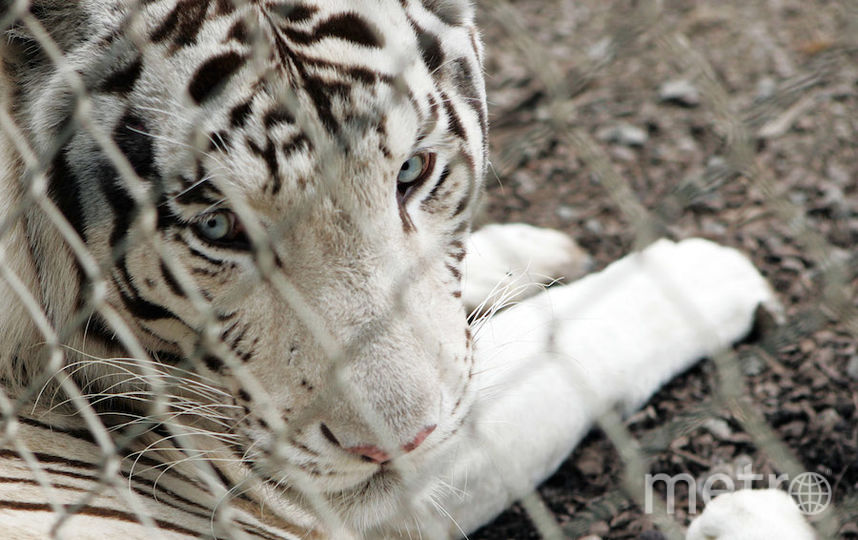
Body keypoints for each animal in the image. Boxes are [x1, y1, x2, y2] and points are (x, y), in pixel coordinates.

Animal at [0, 0, 784, 536]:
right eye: (217, 227)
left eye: (412, 171)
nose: (397, 447)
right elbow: (555, 351)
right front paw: (700, 276)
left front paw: (532, 252)